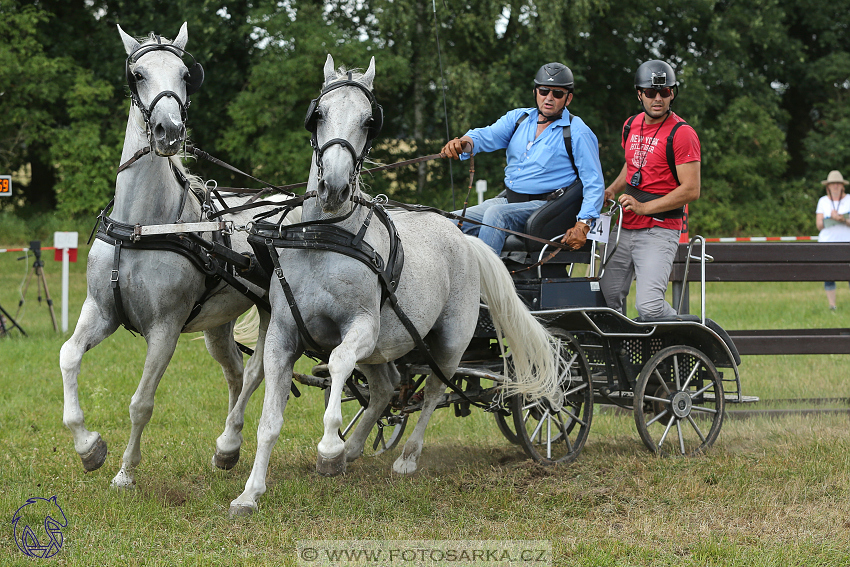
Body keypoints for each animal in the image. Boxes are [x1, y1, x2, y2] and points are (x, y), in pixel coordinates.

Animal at [58, 22, 298, 490]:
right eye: (137, 74)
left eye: (186, 75)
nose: (168, 131)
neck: (141, 227)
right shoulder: (100, 309)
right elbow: (68, 356)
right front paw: (88, 447)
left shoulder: (165, 329)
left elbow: (141, 402)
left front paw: (125, 472)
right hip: (219, 324)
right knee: (235, 371)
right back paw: (227, 450)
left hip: (271, 311)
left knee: (256, 373)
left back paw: (229, 441)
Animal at [227, 55, 564, 516]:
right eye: (319, 114)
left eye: (369, 122)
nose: (333, 187)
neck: (321, 237)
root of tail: (464, 237)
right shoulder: (282, 332)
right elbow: (269, 420)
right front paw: (250, 492)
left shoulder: (362, 328)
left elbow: (337, 364)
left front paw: (328, 448)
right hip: (386, 346)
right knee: (386, 386)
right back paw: (353, 450)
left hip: (448, 341)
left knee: (436, 389)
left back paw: (404, 457)